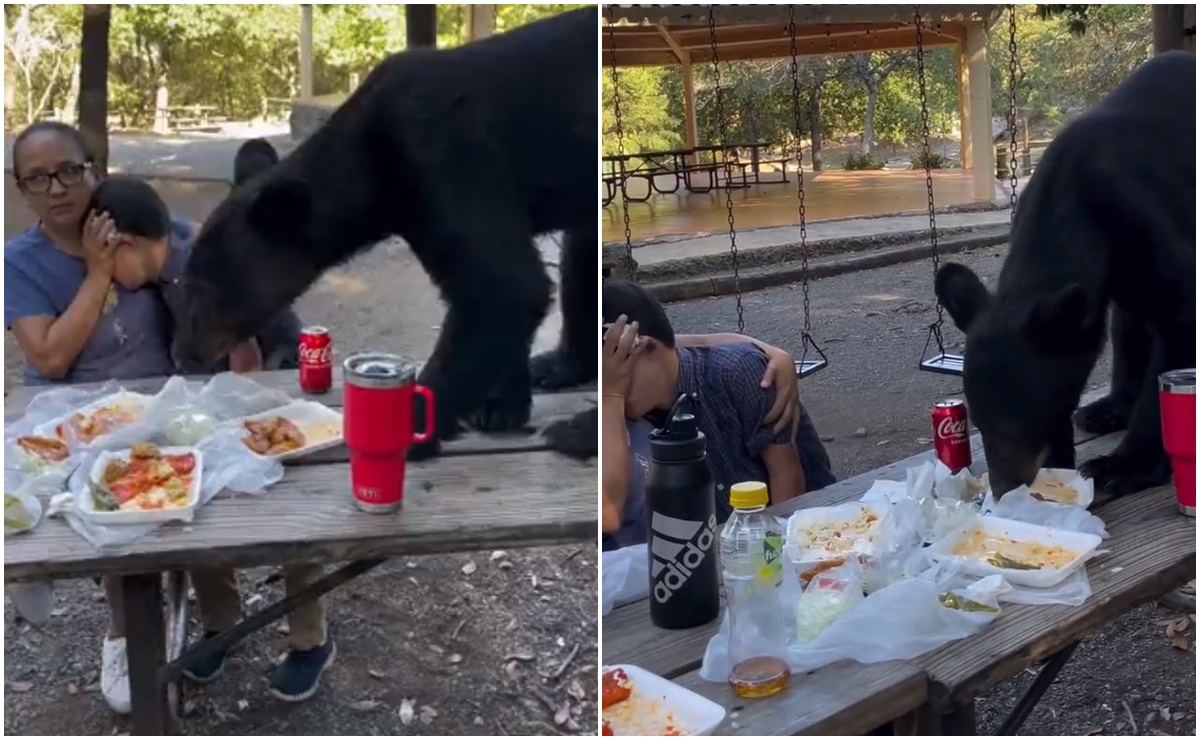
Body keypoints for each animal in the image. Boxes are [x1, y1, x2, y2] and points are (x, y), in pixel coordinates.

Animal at [177, 8, 600, 455]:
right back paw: (562, 365)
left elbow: (503, 285)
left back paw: (579, 428)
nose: (183, 352)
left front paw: (411, 426)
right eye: (186, 282)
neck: (375, 172)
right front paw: (501, 404)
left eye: (204, 288)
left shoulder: (446, 155)